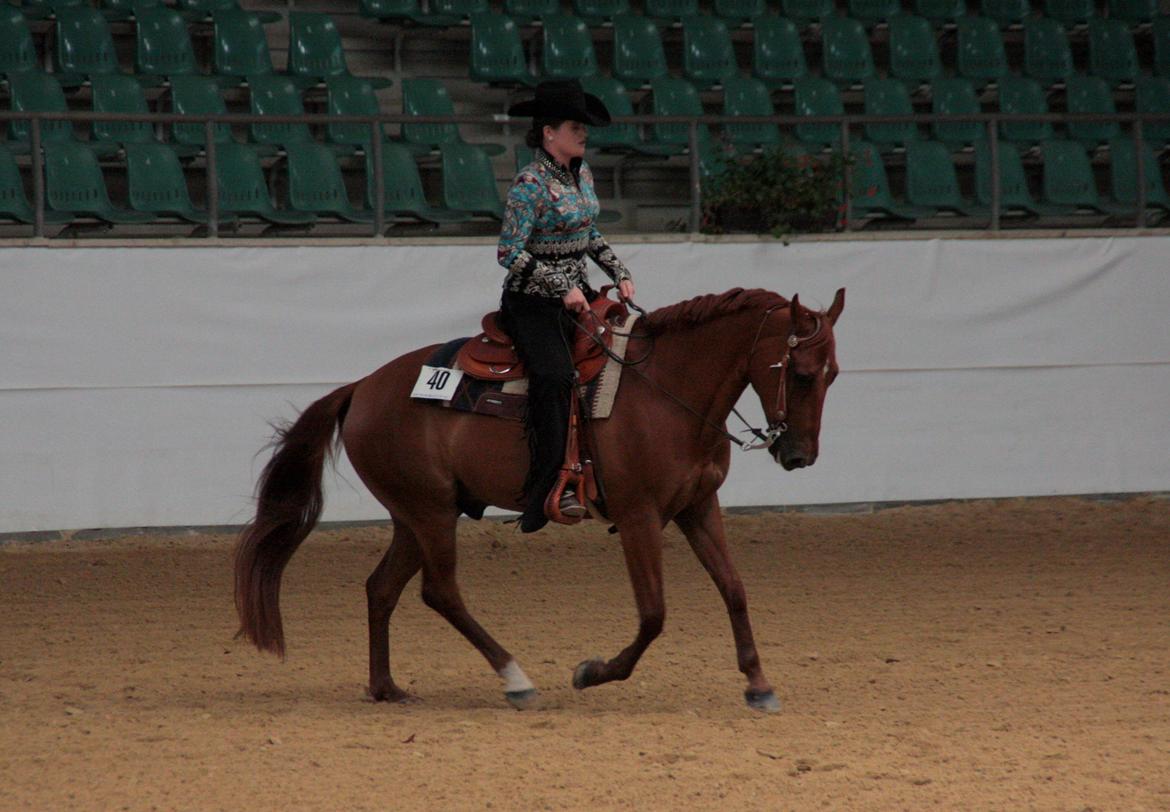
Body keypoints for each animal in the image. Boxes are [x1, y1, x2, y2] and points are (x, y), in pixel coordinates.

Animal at [232, 286, 847, 711]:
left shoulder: (698, 509)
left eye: (834, 374)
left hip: (415, 515)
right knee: (440, 591)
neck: (668, 392)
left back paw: (386, 688)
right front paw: (591, 672)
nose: (800, 455)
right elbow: (653, 615)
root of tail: (361, 387)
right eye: (800, 372)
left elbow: (734, 590)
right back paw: (516, 679)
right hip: (430, 512)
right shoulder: (640, 516)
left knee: (382, 588)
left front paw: (759, 685)